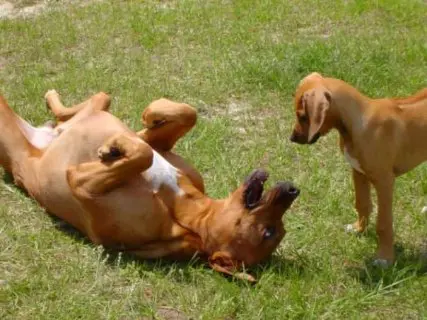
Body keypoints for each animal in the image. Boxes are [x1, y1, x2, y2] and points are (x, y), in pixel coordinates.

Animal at [0, 89, 300, 280]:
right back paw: (56, 103)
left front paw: (115, 146)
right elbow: (185, 115)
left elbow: (142, 154)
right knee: (95, 101)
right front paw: (147, 119)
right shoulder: (163, 147)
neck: (185, 209)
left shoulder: (81, 183)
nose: (293, 190)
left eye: (270, 232)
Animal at [290, 74, 427, 266]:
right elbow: (362, 204)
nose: (292, 138)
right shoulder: (358, 172)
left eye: (302, 116)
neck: (357, 124)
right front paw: (359, 229)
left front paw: (385, 257)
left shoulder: (384, 182)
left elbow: (384, 223)